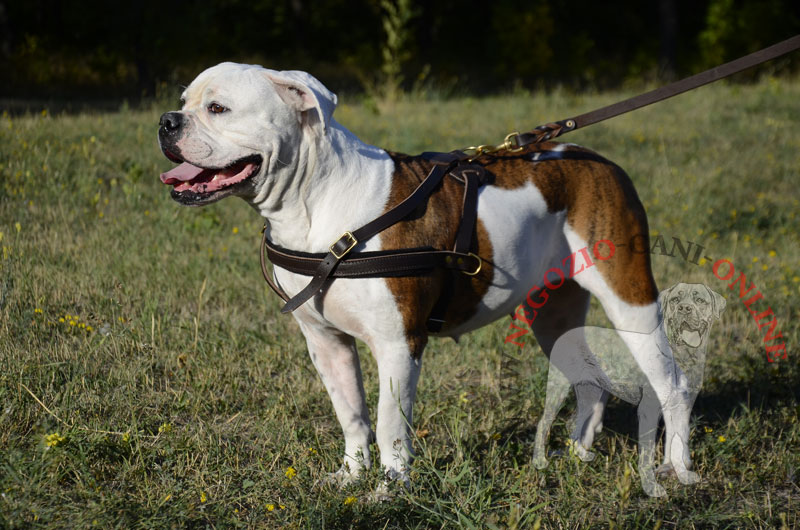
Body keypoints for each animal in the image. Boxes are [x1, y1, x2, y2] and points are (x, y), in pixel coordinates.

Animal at [158, 65, 700, 490]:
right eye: (184, 103)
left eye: (218, 108)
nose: (166, 121)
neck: (314, 202)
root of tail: (599, 160)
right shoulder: (326, 343)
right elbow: (351, 415)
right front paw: (352, 478)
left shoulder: (399, 344)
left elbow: (388, 424)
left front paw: (390, 489)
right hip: (554, 313)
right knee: (590, 379)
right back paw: (578, 455)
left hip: (630, 298)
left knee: (673, 384)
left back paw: (675, 469)